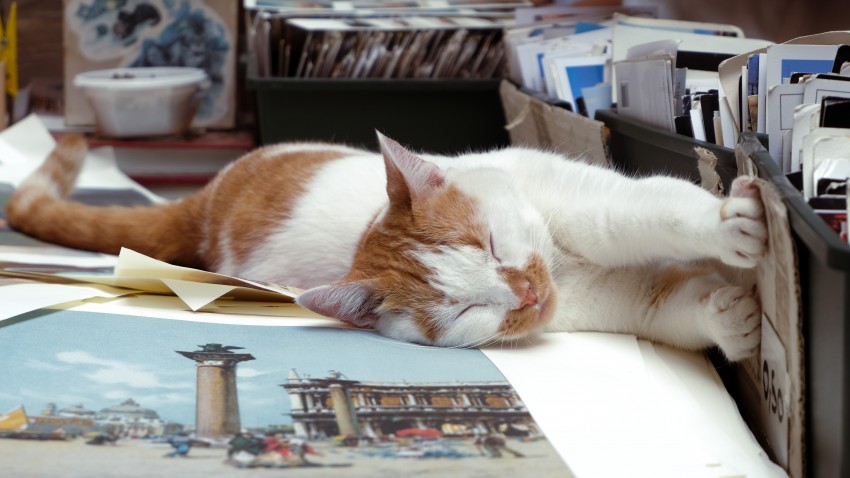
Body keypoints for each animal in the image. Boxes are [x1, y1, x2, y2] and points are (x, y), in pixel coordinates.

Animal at [6, 132, 767, 361]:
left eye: (494, 244)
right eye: (465, 312)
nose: (524, 292)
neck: (561, 267)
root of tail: (207, 199)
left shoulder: (587, 207)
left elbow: (651, 213)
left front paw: (729, 225)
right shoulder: (604, 302)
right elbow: (665, 305)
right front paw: (730, 317)